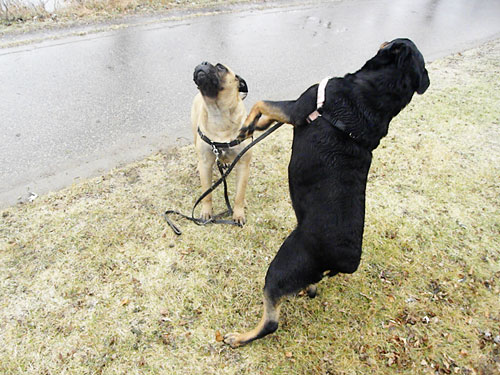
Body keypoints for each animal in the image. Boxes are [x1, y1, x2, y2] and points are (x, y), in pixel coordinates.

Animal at [191, 62, 254, 225]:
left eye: (220, 67)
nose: (203, 63)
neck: (218, 112)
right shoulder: (206, 164)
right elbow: (207, 194)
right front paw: (206, 212)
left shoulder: (243, 164)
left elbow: (239, 194)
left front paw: (238, 213)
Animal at [224, 39, 430, 350]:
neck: (378, 93)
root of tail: (347, 261)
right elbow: (266, 113)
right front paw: (256, 127)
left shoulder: (299, 108)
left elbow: (262, 104)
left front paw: (246, 127)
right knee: (306, 287)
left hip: (281, 266)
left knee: (271, 319)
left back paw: (239, 337)